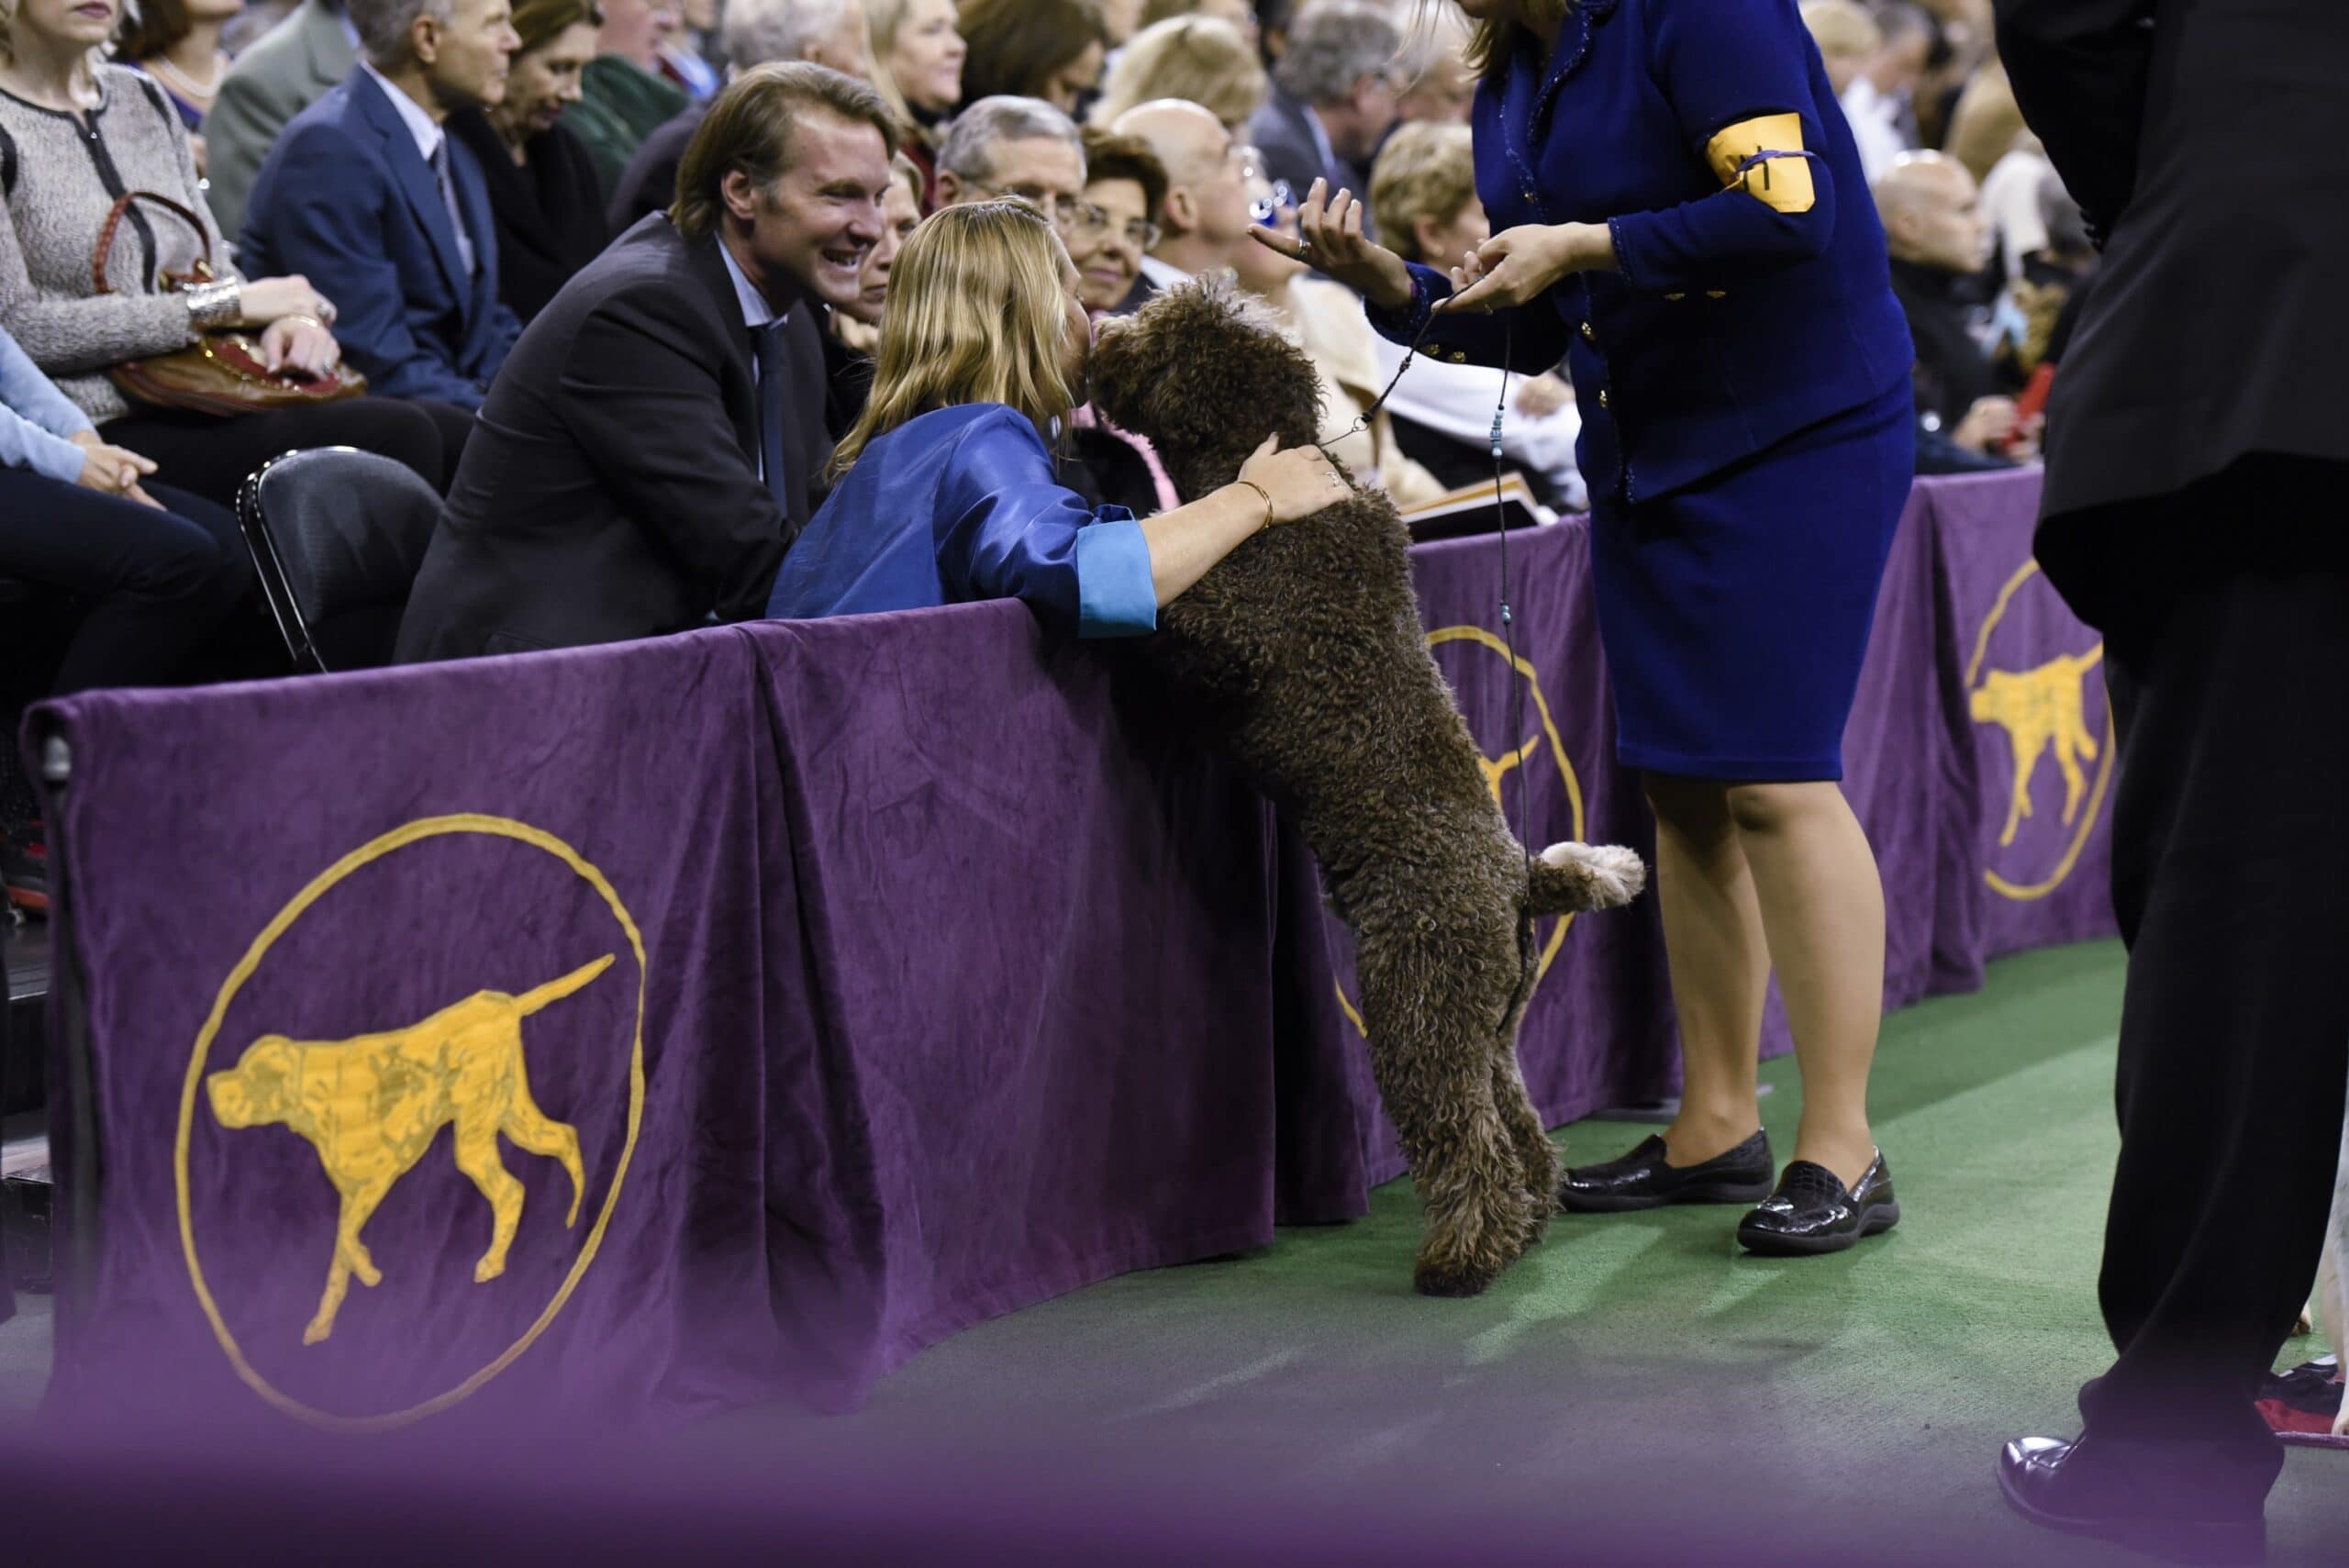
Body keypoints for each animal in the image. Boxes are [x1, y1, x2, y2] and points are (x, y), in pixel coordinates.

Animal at [1089, 282, 1644, 1296]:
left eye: (1161, 334)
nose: (1099, 330)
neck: (1261, 466)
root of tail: (1522, 877)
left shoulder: (1230, 627)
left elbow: (1167, 606)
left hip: (1416, 1005)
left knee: (1467, 1140)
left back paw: (1461, 1256)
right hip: (1487, 1022)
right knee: (1520, 1127)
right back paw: (1526, 1222)